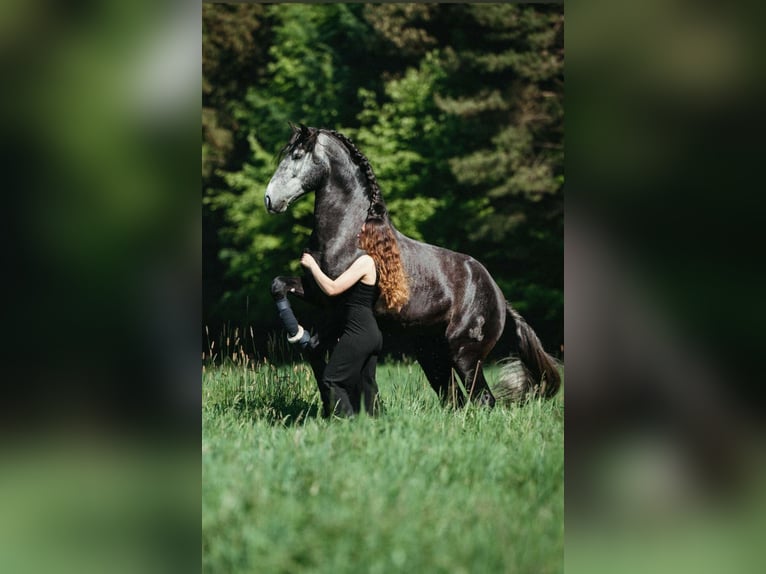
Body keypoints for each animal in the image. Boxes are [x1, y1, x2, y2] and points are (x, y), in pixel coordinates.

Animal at [264, 123, 560, 415]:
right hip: (432, 354)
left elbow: (316, 347)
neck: (351, 234)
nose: (270, 199)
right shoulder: (318, 294)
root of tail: (499, 296)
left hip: (465, 355)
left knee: (483, 398)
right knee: (454, 398)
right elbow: (280, 287)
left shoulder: (339, 306)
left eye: (297, 155)